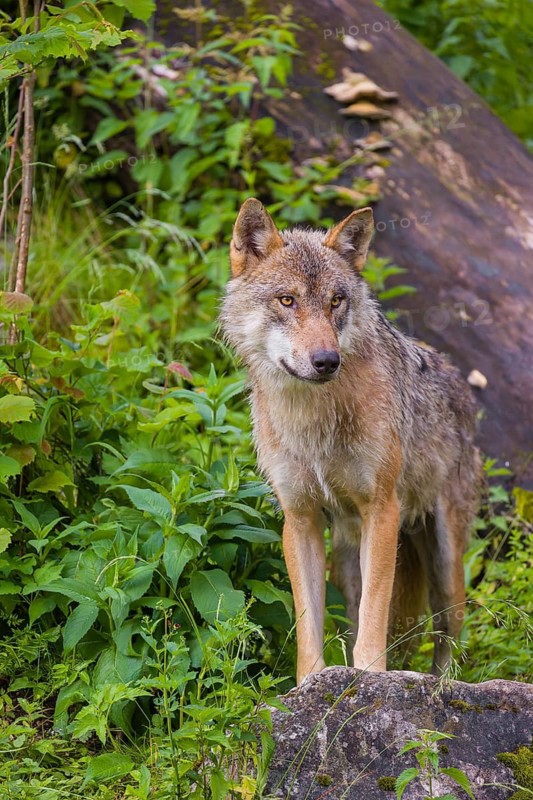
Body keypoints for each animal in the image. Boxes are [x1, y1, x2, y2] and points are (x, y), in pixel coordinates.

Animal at [221, 198, 481, 684]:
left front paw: (373, 679)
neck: (313, 421)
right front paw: (312, 685)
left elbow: (375, 619)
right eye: (287, 300)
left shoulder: (382, 508)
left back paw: (440, 686)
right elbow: (309, 624)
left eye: (336, 301)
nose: (327, 360)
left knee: (447, 637)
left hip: (444, 566)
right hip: (345, 559)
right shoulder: (299, 518)